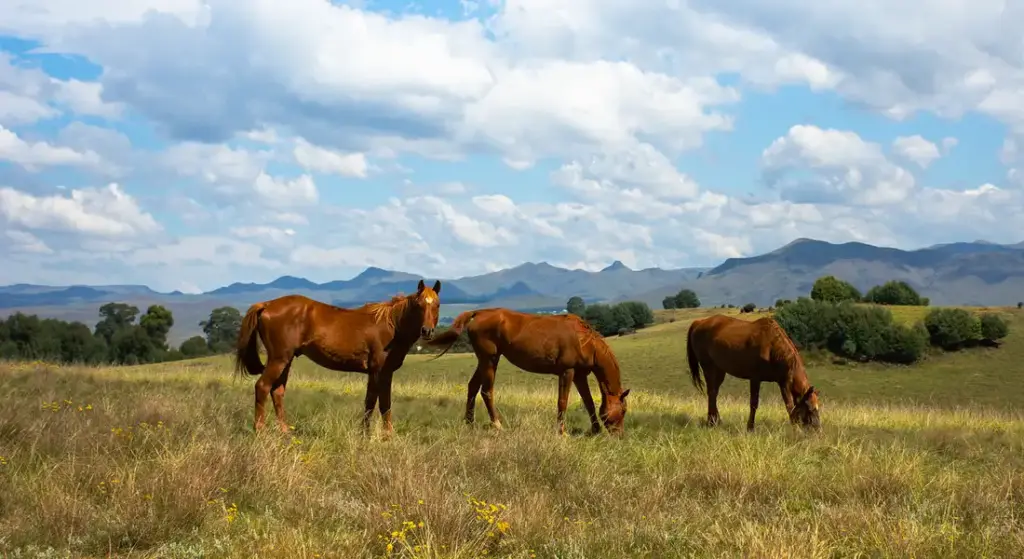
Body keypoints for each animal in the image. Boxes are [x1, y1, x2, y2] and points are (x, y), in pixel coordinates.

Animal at [233, 279, 442, 437]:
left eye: (437, 304)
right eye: (419, 305)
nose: (427, 331)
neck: (392, 325)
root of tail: (266, 305)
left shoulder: (374, 372)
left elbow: (370, 402)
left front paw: (364, 433)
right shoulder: (381, 371)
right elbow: (383, 403)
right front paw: (386, 435)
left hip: (286, 360)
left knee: (277, 391)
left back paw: (285, 431)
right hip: (278, 359)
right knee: (262, 387)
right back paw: (260, 430)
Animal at [425, 308, 631, 435]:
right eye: (623, 410)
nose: (619, 436)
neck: (585, 341)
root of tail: (479, 313)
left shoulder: (580, 375)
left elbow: (588, 403)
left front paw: (595, 430)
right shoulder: (567, 372)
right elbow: (562, 402)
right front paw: (562, 432)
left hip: (484, 360)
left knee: (472, 387)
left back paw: (470, 423)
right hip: (489, 360)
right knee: (486, 391)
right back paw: (497, 425)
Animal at [686, 314, 821, 431]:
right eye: (809, 408)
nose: (818, 430)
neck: (773, 348)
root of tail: (699, 322)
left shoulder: (783, 383)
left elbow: (789, 406)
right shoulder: (756, 379)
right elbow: (755, 404)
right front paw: (750, 428)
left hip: (719, 370)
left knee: (714, 393)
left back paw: (716, 421)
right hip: (709, 367)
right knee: (712, 392)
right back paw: (711, 422)